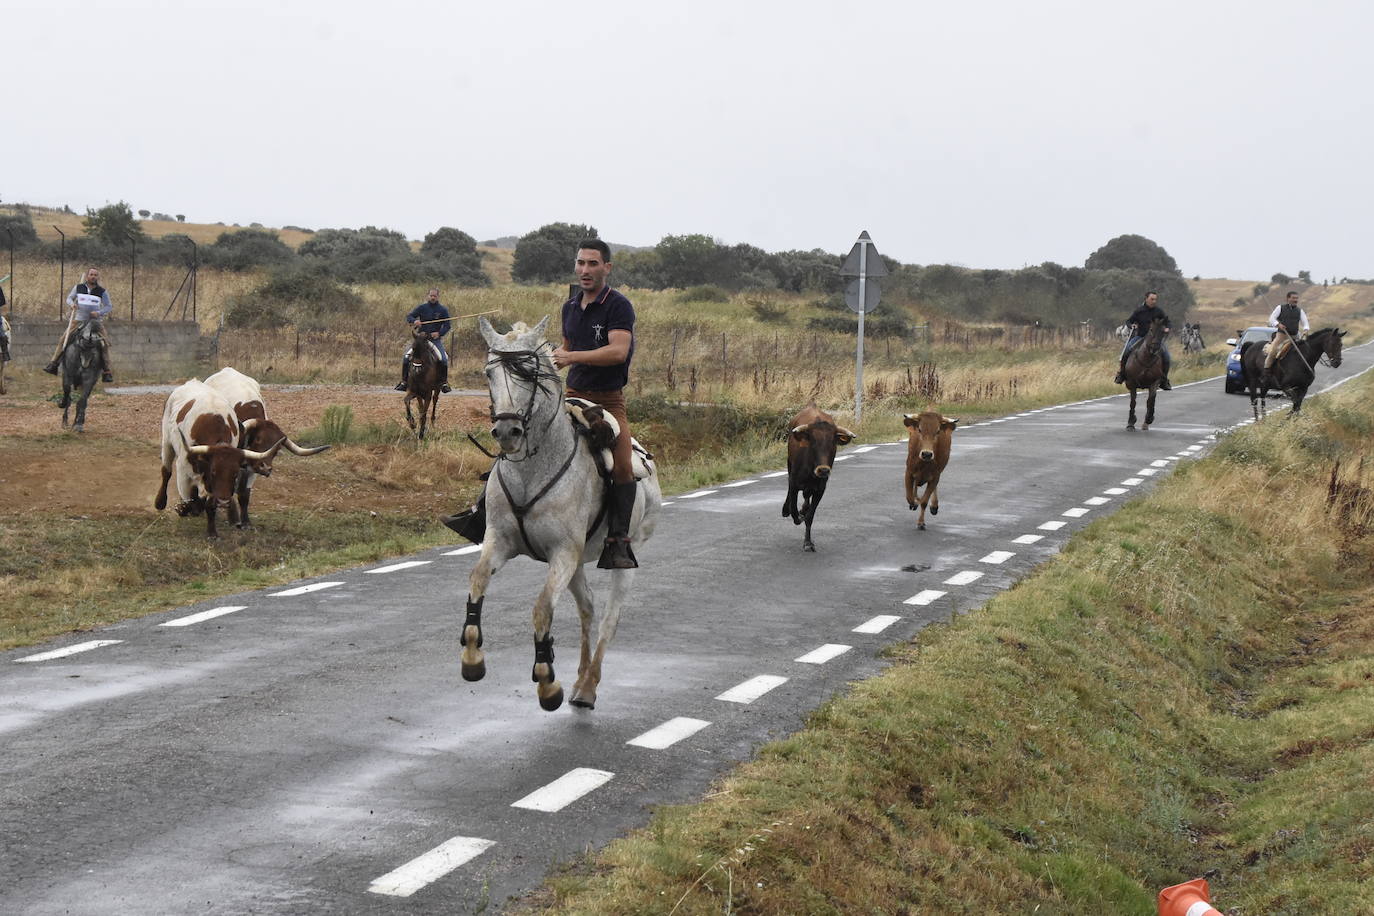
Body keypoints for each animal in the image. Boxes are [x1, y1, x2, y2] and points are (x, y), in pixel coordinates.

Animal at [201, 368, 331, 530]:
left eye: (277, 447)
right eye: (258, 439)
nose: (266, 468)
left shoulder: (252, 467)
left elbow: (244, 494)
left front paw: (245, 522)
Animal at [458, 318, 662, 714]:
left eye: (528, 372)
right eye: (489, 372)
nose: (507, 431)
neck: (531, 471)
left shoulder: (562, 554)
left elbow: (541, 610)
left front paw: (547, 682)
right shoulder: (500, 541)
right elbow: (477, 581)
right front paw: (472, 657)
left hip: (622, 558)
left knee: (609, 620)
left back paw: (588, 688)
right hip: (579, 563)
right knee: (588, 608)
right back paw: (581, 678)